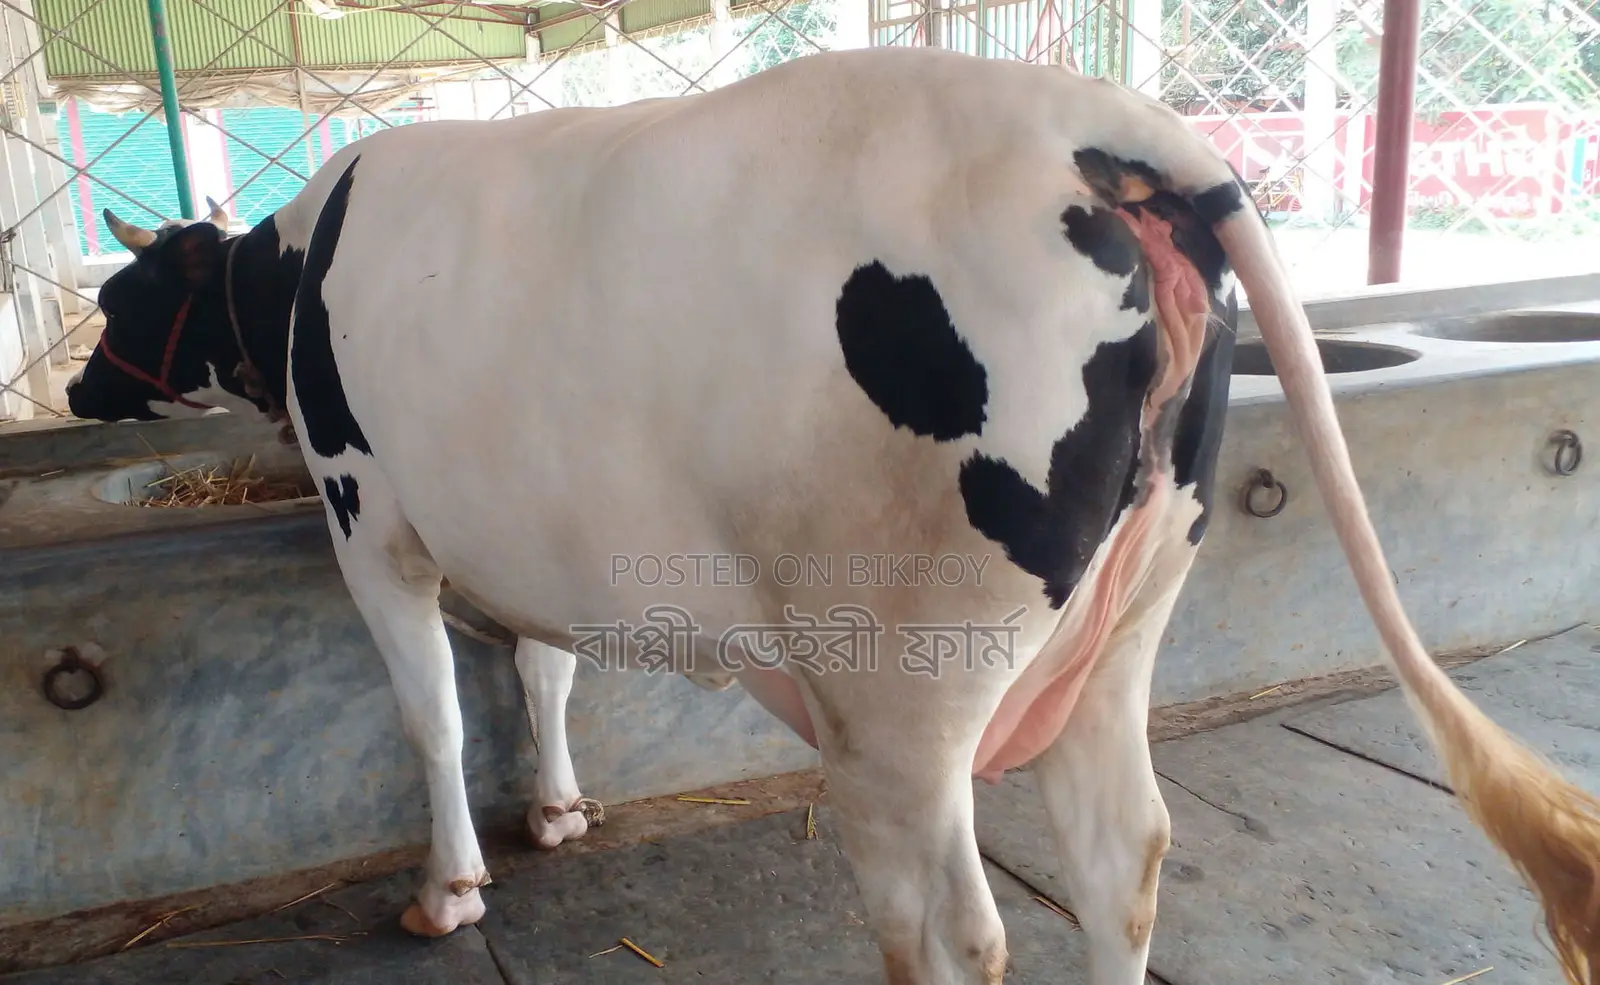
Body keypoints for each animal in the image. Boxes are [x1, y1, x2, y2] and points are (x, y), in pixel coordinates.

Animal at [65, 46, 1600, 985]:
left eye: (119, 299)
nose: (77, 388)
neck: (295, 268)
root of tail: (1099, 121)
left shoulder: (367, 519)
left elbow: (432, 716)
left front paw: (450, 889)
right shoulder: (525, 529)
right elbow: (548, 669)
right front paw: (557, 808)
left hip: (897, 687)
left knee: (950, 927)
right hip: (1127, 618)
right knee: (1123, 858)